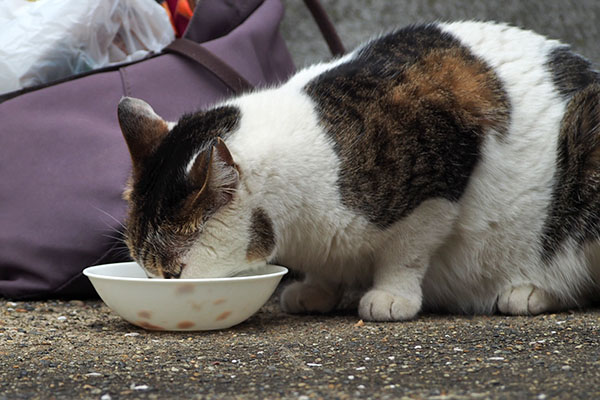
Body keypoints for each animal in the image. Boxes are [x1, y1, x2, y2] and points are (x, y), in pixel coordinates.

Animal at [116, 21, 600, 322]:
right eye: (144, 268)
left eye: (173, 273)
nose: (156, 288)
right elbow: (327, 268)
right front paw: (316, 289)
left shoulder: (440, 175)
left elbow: (407, 249)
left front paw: (391, 295)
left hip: (585, 136)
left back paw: (530, 290)